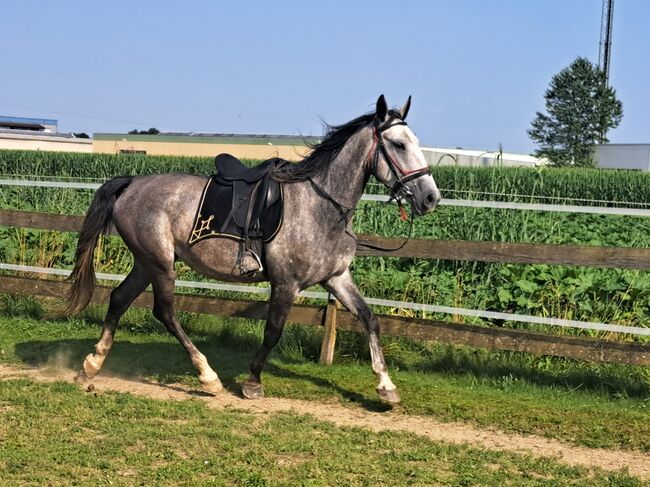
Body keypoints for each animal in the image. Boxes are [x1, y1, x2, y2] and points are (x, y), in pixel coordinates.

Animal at [67, 95, 440, 404]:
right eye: (398, 144)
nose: (430, 197)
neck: (320, 205)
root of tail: (132, 183)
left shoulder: (336, 278)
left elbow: (370, 320)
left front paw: (386, 387)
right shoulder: (286, 283)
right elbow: (273, 331)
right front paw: (252, 382)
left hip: (147, 262)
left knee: (119, 298)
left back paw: (92, 364)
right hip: (160, 264)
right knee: (166, 313)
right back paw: (208, 377)